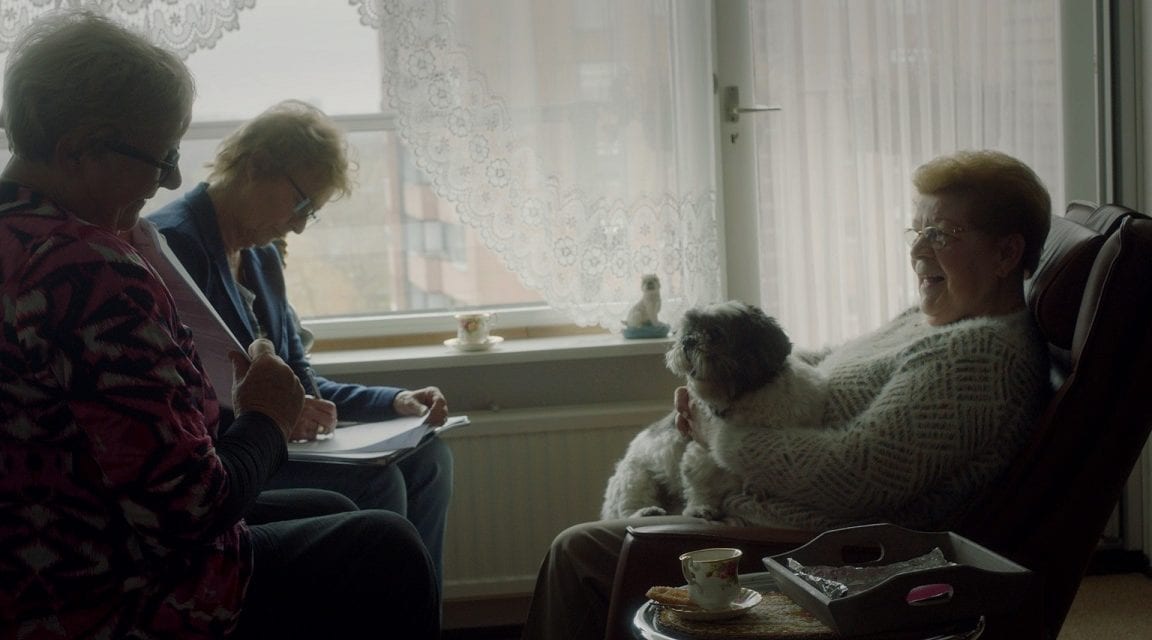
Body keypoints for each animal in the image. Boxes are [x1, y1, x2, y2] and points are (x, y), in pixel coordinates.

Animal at [599, 301, 824, 522]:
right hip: (636, 476)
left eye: (715, 333)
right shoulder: (701, 451)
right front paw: (701, 507)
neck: (743, 397)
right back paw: (645, 512)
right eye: (688, 330)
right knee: (628, 507)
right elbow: (701, 482)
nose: (688, 340)